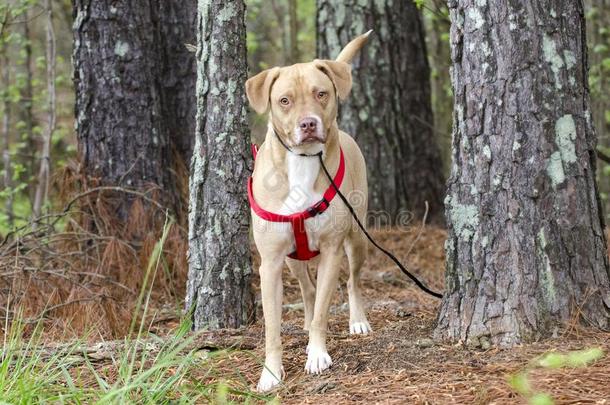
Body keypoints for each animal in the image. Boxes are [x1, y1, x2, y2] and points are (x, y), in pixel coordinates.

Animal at [243, 31, 368, 392]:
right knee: (308, 290)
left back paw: (358, 321)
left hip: (358, 238)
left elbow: (324, 312)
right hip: (291, 260)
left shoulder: (331, 251)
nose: (308, 124)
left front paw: (317, 355)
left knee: (352, 282)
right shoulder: (270, 263)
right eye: (284, 100)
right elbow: (272, 328)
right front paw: (271, 373)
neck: (302, 161)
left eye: (321, 93)